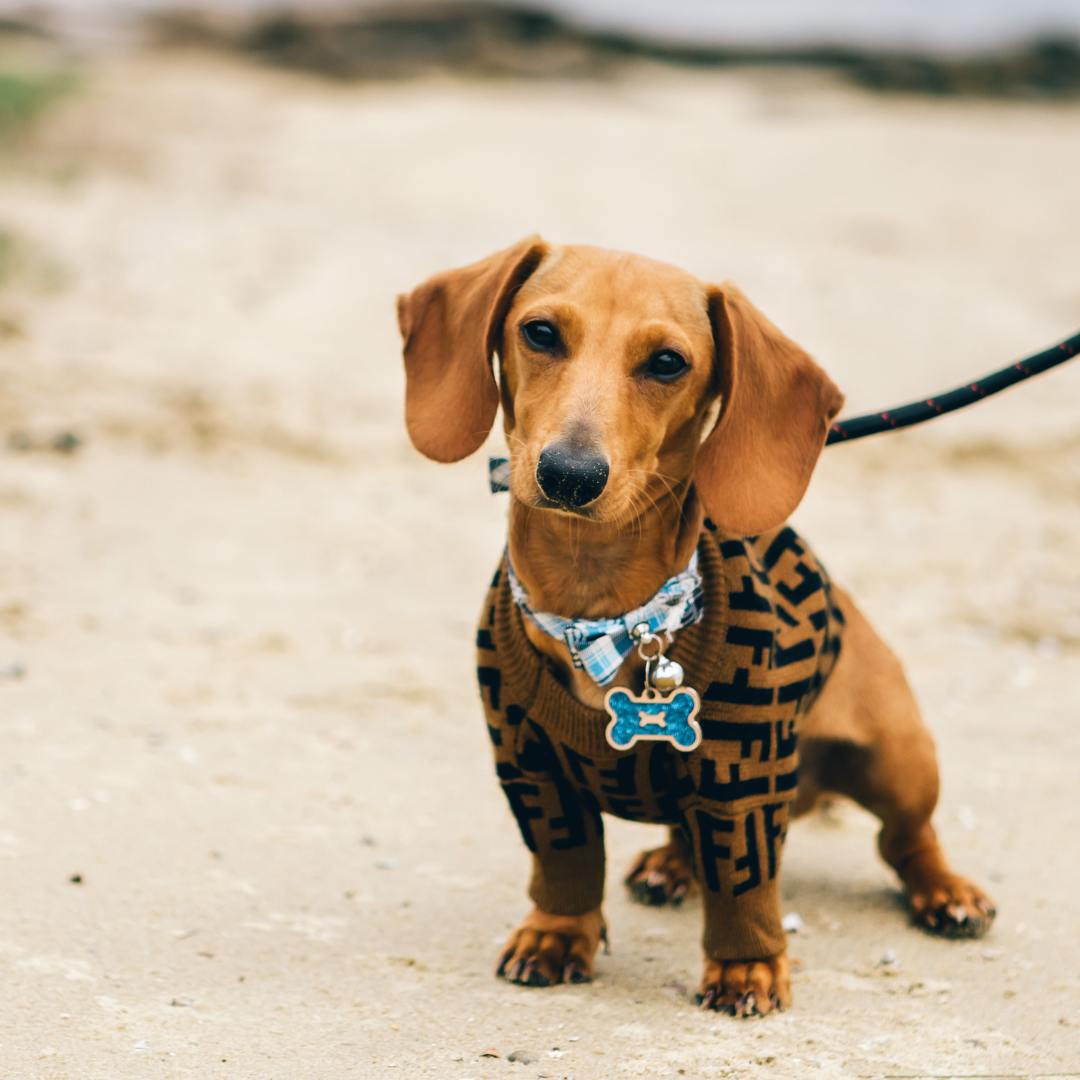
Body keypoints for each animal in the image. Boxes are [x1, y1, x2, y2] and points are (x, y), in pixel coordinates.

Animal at [397, 236, 993, 1010]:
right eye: (540, 333)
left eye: (667, 363)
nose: (569, 475)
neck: (603, 610)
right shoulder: (529, 770)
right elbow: (565, 860)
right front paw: (556, 935)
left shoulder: (745, 780)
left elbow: (745, 884)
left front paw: (747, 968)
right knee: (692, 835)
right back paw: (671, 864)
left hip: (897, 758)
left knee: (905, 840)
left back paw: (946, 892)